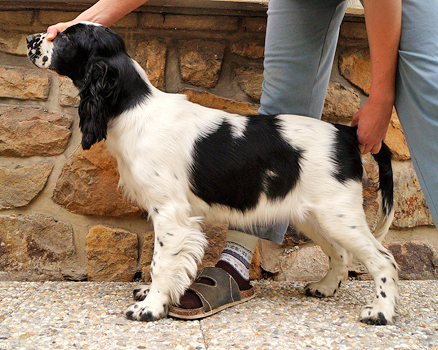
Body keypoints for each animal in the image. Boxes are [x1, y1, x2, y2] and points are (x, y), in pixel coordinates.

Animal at [26, 22, 396, 326]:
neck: (135, 107)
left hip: (337, 213)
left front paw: (150, 308)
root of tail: (347, 133)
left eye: (66, 37)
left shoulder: (171, 213)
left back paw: (380, 312)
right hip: (313, 216)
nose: (30, 40)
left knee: (382, 259)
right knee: (341, 253)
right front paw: (151, 295)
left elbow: (161, 261)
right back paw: (324, 287)